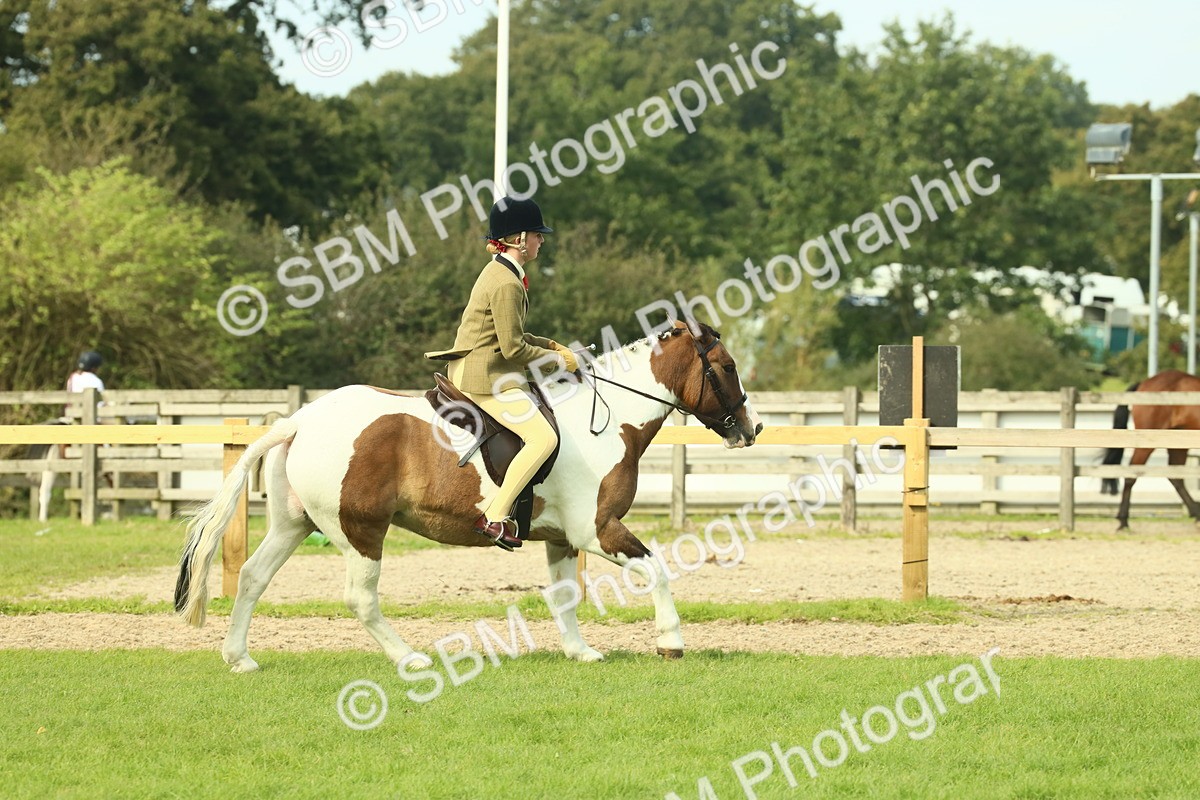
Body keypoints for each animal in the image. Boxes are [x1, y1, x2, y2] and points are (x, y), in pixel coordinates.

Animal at [175, 320, 763, 672]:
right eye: (729, 367)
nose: (751, 429)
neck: (606, 421)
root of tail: (299, 419)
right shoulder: (597, 530)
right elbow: (658, 570)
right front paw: (671, 641)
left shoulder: (561, 538)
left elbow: (565, 597)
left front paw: (580, 652)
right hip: (361, 531)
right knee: (361, 599)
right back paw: (410, 658)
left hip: (293, 523)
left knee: (253, 577)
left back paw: (239, 657)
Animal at [1100, 369, 1200, 530]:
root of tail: (1144, 383)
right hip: (1148, 441)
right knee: (1131, 474)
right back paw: (1123, 521)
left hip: (1177, 443)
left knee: (1176, 477)